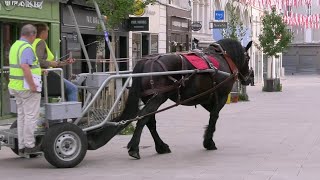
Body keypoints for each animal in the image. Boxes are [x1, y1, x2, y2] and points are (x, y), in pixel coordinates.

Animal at [86, 38, 251, 160]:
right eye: (248, 58)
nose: (249, 77)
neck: (223, 59)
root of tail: (147, 61)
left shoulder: (205, 98)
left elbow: (211, 116)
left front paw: (208, 139)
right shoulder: (221, 97)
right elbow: (214, 118)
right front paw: (209, 142)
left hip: (149, 97)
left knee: (150, 121)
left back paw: (161, 146)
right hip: (159, 96)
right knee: (143, 117)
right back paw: (134, 147)